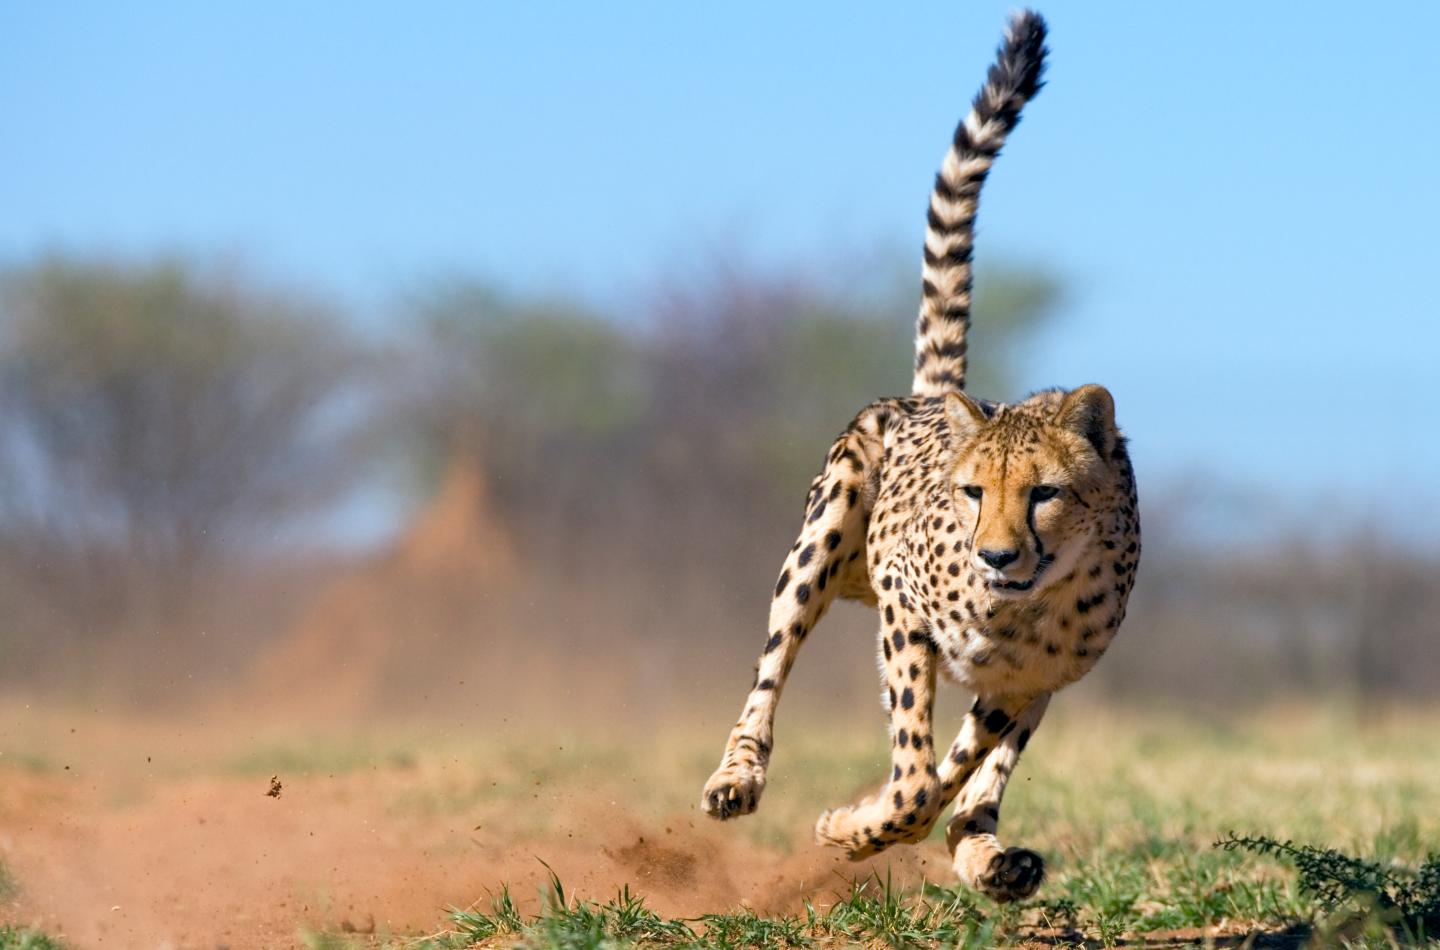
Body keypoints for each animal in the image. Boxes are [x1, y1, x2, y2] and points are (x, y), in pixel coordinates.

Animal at [698, 9, 1140, 903]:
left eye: (1044, 493)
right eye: (973, 493)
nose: (996, 554)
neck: (1027, 602)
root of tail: (936, 396)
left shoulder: (1027, 679)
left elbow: (951, 773)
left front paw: (874, 827)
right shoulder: (905, 612)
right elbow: (912, 778)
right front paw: (853, 827)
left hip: (1031, 688)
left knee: (975, 779)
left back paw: (990, 855)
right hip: (823, 535)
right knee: (772, 668)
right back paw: (739, 776)